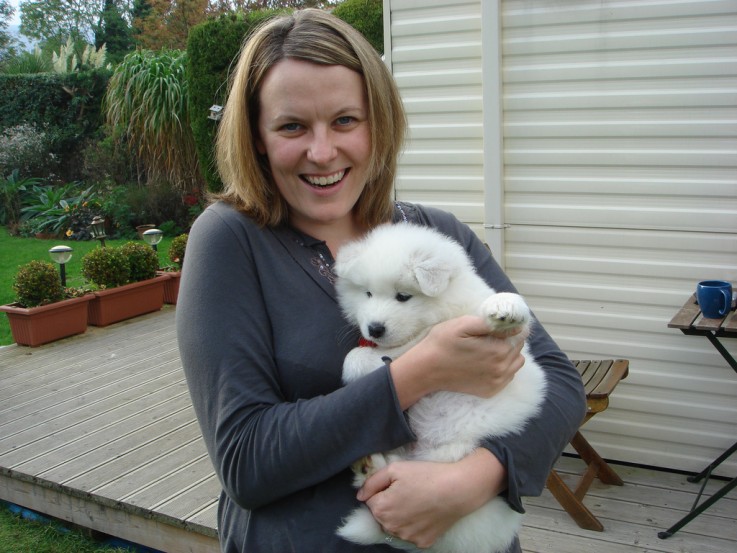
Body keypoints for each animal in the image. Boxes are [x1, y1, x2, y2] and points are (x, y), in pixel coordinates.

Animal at [334, 222, 548, 552]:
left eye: (403, 296)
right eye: (367, 293)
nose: (374, 329)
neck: (431, 321)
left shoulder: (501, 337)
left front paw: (505, 306)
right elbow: (357, 355)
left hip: (453, 460)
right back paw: (368, 465)